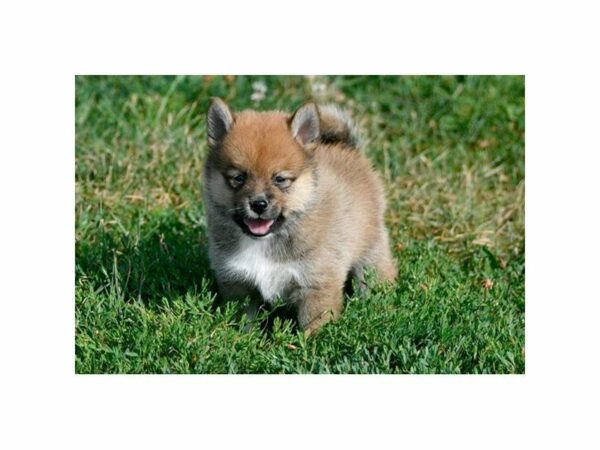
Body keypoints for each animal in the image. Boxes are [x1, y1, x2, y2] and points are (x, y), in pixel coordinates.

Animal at [204, 97, 396, 334]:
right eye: (238, 178)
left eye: (280, 179)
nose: (258, 204)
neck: (264, 242)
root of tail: (347, 148)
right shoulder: (238, 283)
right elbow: (244, 320)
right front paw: (242, 338)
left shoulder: (316, 285)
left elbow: (313, 327)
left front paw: (310, 343)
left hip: (370, 250)